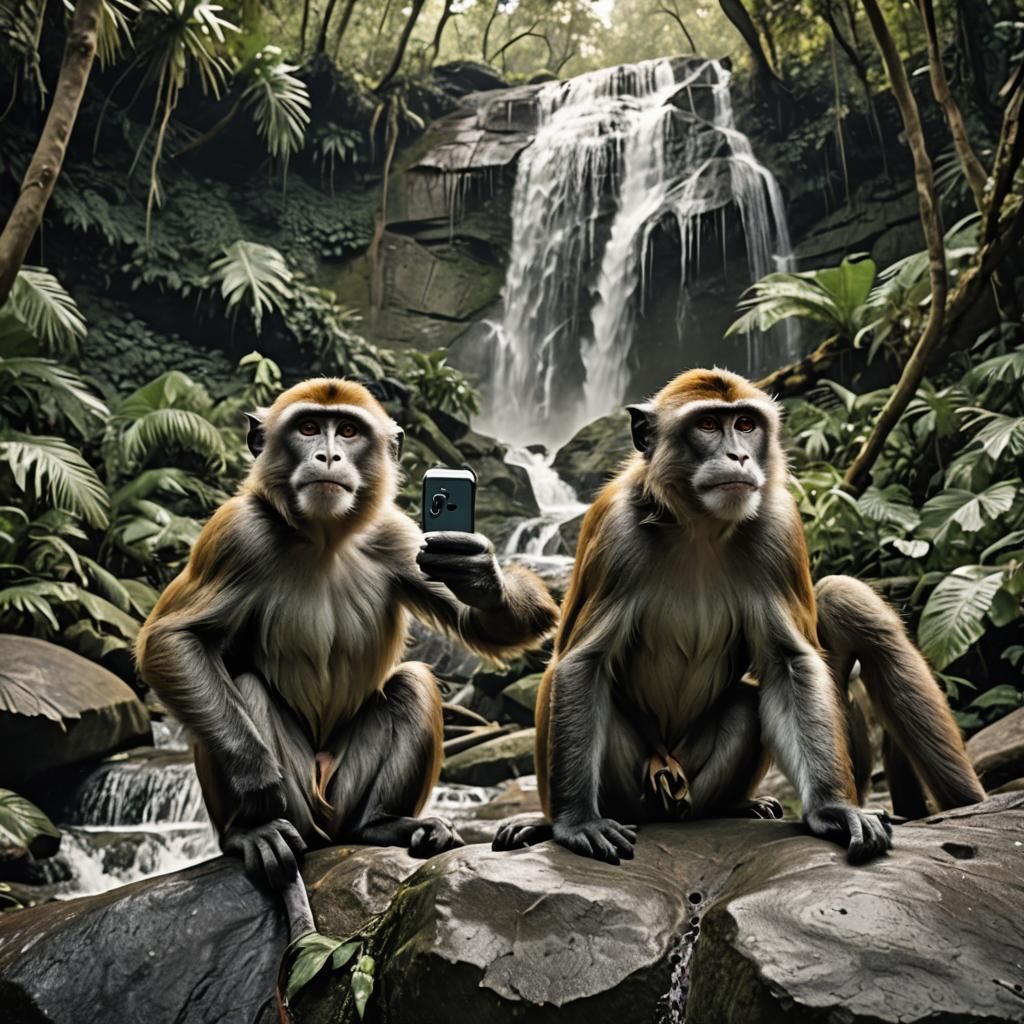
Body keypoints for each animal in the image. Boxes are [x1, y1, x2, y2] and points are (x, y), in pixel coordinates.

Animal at [137, 378, 559, 891]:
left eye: (349, 431)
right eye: (308, 427)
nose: (328, 456)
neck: (324, 538)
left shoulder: (396, 537)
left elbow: (479, 624)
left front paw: (478, 571)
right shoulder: (236, 533)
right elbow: (175, 640)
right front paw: (255, 776)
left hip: (344, 788)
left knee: (413, 683)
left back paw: (381, 823)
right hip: (302, 799)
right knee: (245, 686)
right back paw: (252, 830)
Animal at [493, 368, 985, 865]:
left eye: (746, 425)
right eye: (709, 425)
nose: (739, 455)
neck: (698, 527)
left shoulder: (777, 530)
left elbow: (789, 662)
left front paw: (832, 808)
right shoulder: (617, 535)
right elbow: (583, 663)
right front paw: (577, 822)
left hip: (696, 782)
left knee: (752, 702)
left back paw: (737, 804)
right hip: (631, 788)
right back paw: (550, 820)